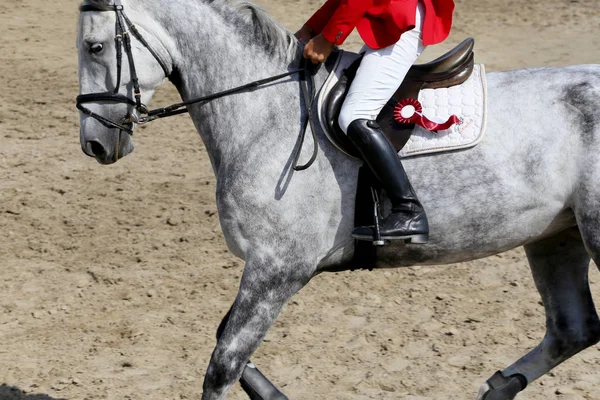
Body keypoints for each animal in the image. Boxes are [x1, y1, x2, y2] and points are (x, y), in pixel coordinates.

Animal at [75, 0, 600, 400]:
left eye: (94, 46)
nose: (95, 145)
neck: (265, 110)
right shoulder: (271, 268)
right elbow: (228, 343)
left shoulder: (278, 266)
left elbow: (224, 362)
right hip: (555, 235)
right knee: (573, 328)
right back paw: (498, 388)